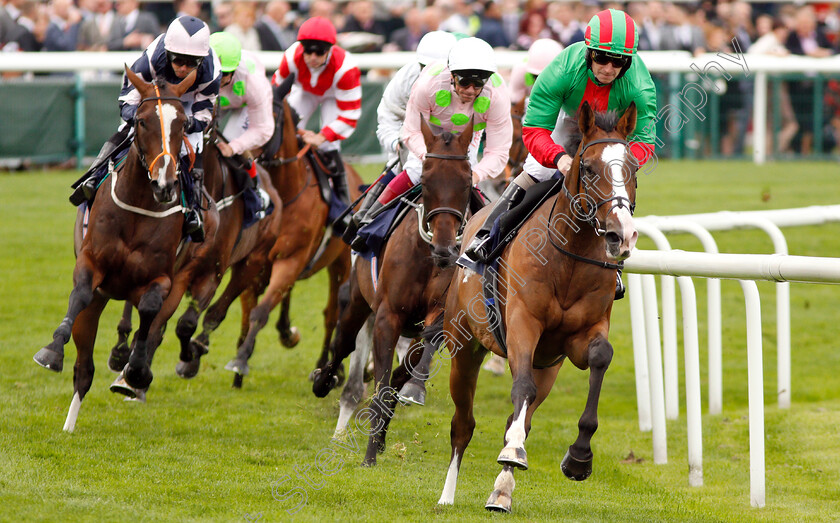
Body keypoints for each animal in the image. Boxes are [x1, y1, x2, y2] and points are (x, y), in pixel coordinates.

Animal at [34, 67, 207, 432]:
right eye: (141, 121)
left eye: (183, 123)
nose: (165, 184)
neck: (139, 205)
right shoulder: (90, 262)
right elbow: (81, 293)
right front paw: (52, 350)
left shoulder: (162, 277)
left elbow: (150, 310)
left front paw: (136, 371)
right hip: (97, 303)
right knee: (83, 369)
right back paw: (68, 426)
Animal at [190, 86, 364, 386]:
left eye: (270, 121)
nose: (247, 158)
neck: (284, 192)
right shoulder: (257, 264)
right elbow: (246, 314)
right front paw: (236, 367)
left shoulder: (290, 259)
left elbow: (260, 313)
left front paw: (240, 360)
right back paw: (287, 332)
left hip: (340, 263)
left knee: (332, 314)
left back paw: (327, 367)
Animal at [312, 116, 480, 464]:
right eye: (426, 180)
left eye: (467, 181)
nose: (445, 248)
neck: (428, 255)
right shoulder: (387, 315)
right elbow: (380, 385)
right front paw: (369, 456)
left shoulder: (438, 314)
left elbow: (407, 368)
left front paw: (412, 392)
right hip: (359, 301)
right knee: (344, 341)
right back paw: (324, 380)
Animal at [436, 102, 640, 512]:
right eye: (588, 167)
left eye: (633, 169)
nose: (621, 234)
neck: (570, 257)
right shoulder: (522, 324)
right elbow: (521, 388)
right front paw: (515, 452)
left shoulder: (580, 336)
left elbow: (601, 357)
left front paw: (579, 457)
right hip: (464, 349)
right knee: (463, 424)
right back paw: (448, 495)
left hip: (549, 366)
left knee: (522, 415)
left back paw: (501, 491)